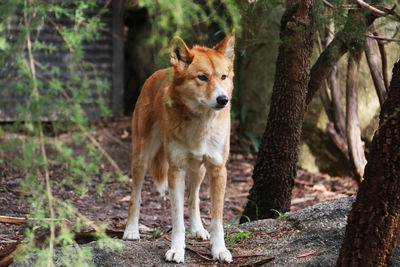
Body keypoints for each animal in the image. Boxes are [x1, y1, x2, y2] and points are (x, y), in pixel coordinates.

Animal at [124, 33, 234, 264]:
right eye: (202, 77)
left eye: (223, 76)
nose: (223, 99)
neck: (200, 125)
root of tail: (160, 71)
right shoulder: (175, 170)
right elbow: (177, 219)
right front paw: (176, 249)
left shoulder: (218, 170)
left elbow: (217, 219)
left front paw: (219, 250)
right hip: (141, 158)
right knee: (135, 196)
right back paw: (131, 230)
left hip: (199, 170)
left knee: (194, 198)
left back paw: (198, 229)